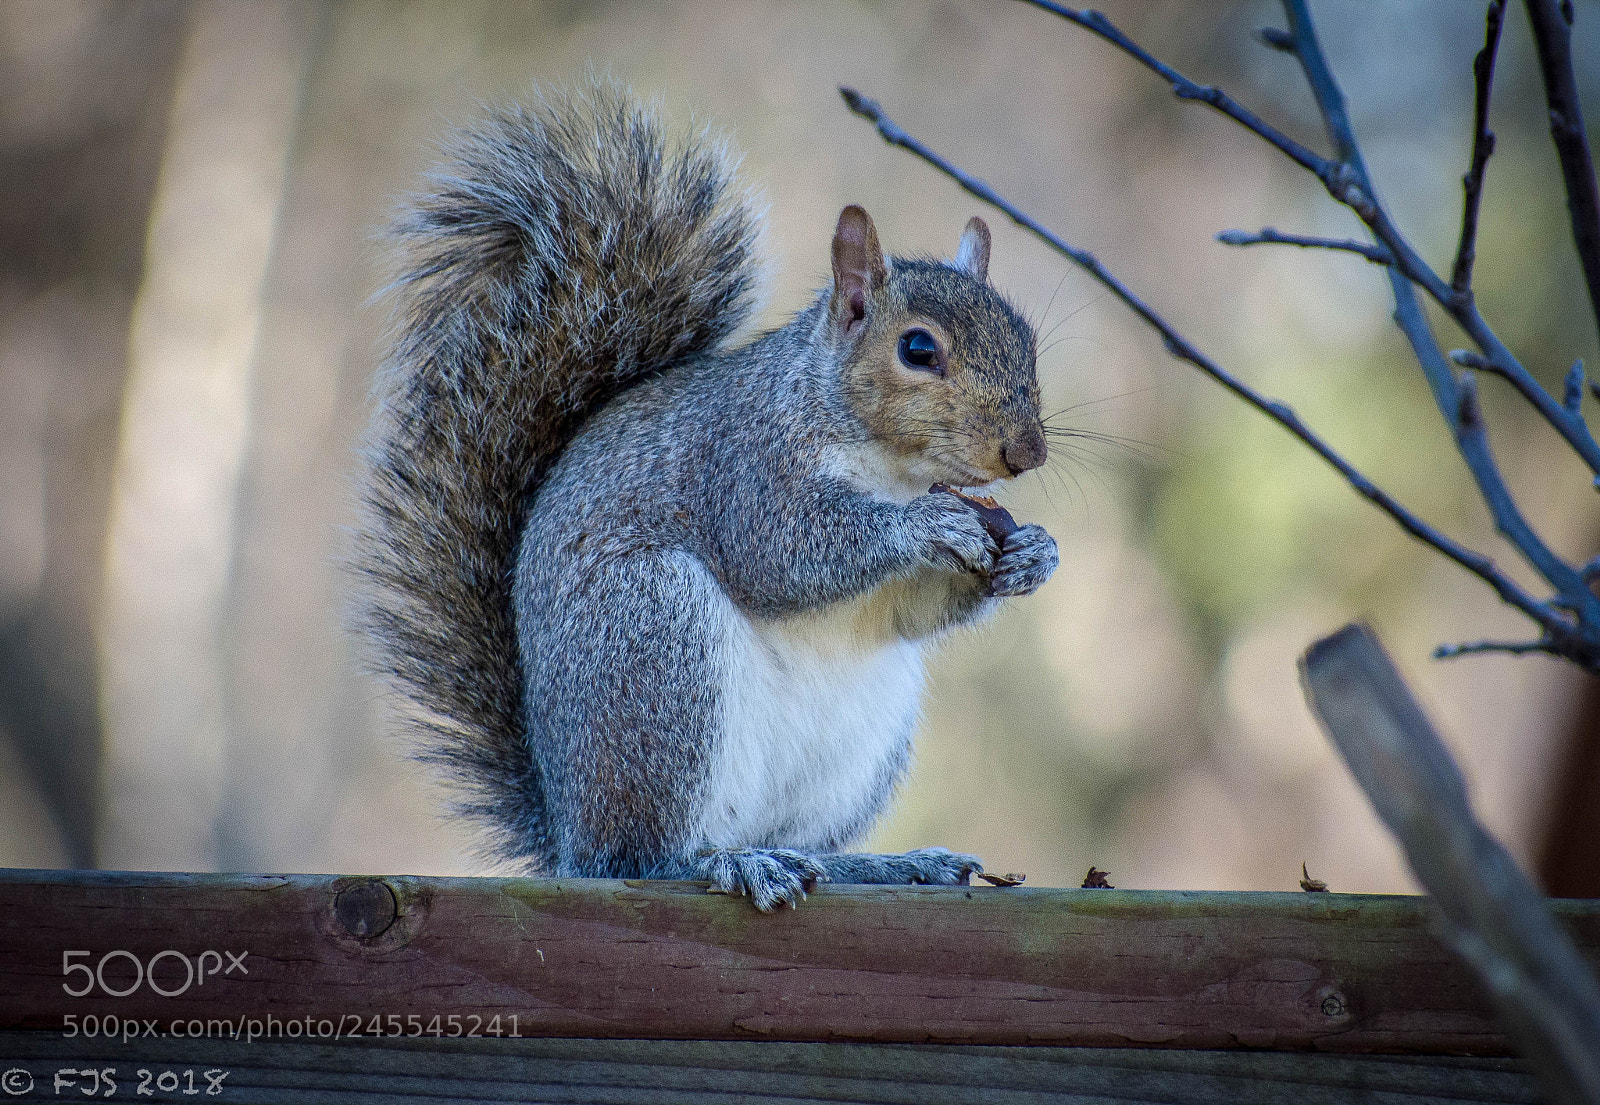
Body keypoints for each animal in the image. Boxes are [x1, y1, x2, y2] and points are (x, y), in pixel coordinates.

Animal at [358, 83, 1058, 911]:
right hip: (656, 645)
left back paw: (884, 864)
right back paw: (732, 864)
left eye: (1026, 341)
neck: (888, 466)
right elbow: (782, 554)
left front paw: (1033, 553)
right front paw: (926, 525)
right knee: (645, 856)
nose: (1026, 452)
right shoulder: (742, 467)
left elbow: (918, 610)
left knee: (801, 844)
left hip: (854, 748)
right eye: (918, 349)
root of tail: (568, 834)